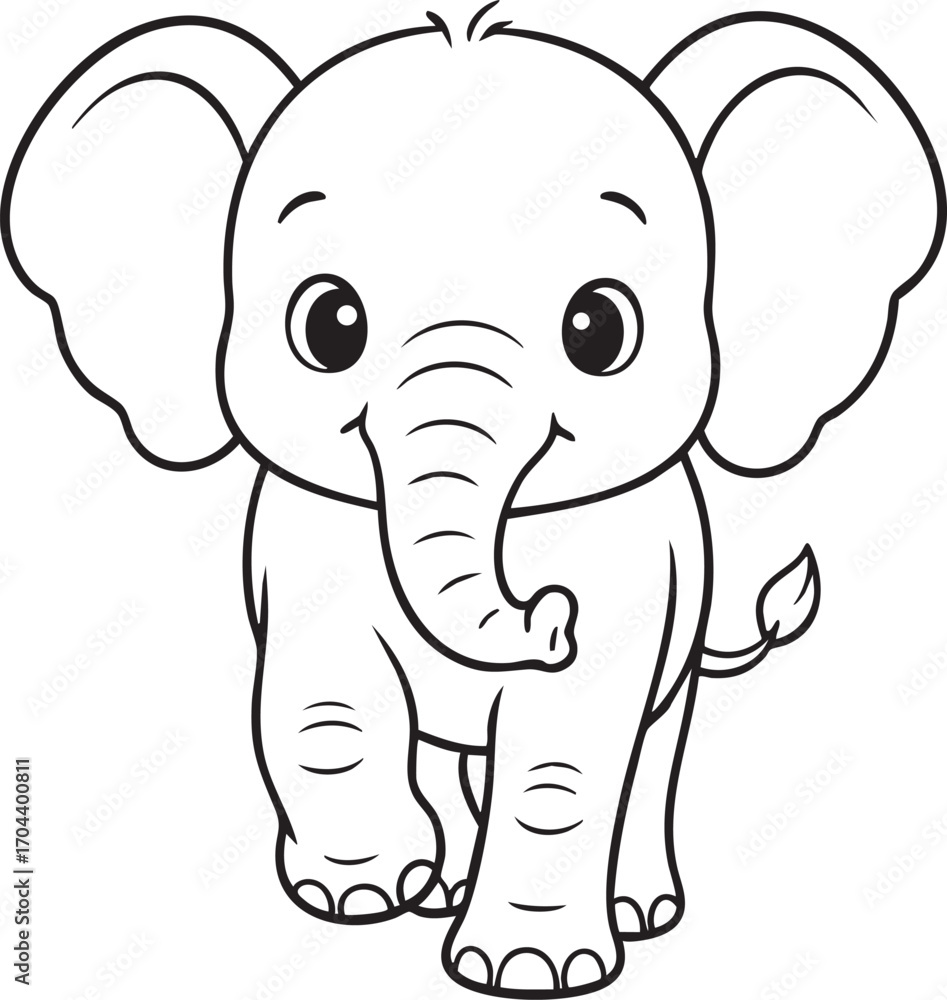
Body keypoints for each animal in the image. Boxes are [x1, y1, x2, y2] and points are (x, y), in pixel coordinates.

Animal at [4, 4, 944, 996]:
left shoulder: (632, 567)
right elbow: (324, 707)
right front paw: (361, 896)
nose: (551, 615)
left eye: (598, 329)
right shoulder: (310, 540)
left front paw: (527, 970)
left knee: (648, 754)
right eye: (329, 325)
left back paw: (636, 912)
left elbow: (562, 754)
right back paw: (437, 885)